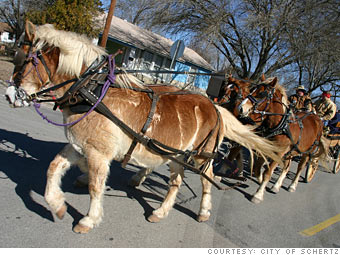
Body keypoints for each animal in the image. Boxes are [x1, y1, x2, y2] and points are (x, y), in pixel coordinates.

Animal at [6, 21, 282, 233]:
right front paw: (57, 204)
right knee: (176, 182)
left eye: (24, 60)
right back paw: (159, 205)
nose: (9, 95)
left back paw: (197, 210)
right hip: (176, 153)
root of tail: (215, 107)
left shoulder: (98, 153)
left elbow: (96, 186)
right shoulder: (80, 145)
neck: (92, 91)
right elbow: (54, 168)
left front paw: (88, 219)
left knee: (205, 181)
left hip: (200, 157)